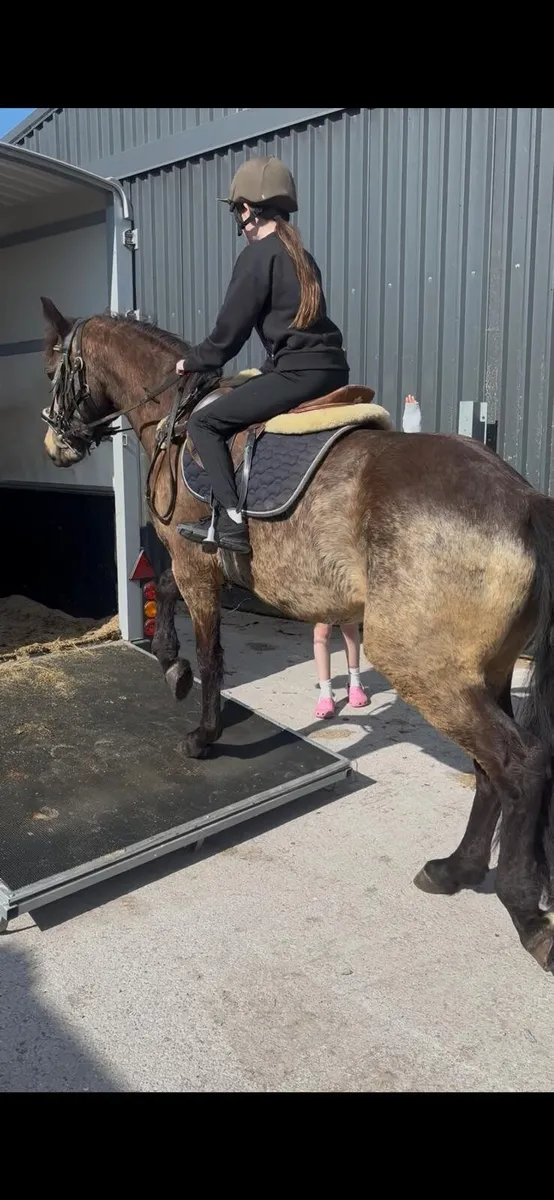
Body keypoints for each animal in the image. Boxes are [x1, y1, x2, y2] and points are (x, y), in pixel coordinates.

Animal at [38, 296, 554, 973]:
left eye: (54, 370)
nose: (53, 443)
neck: (178, 415)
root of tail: (524, 500)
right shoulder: (198, 563)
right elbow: (168, 600)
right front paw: (170, 665)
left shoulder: (194, 560)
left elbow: (209, 649)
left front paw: (201, 730)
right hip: (483, 673)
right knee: (491, 771)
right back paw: (455, 870)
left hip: (428, 668)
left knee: (520, 766)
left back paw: (525, 913)